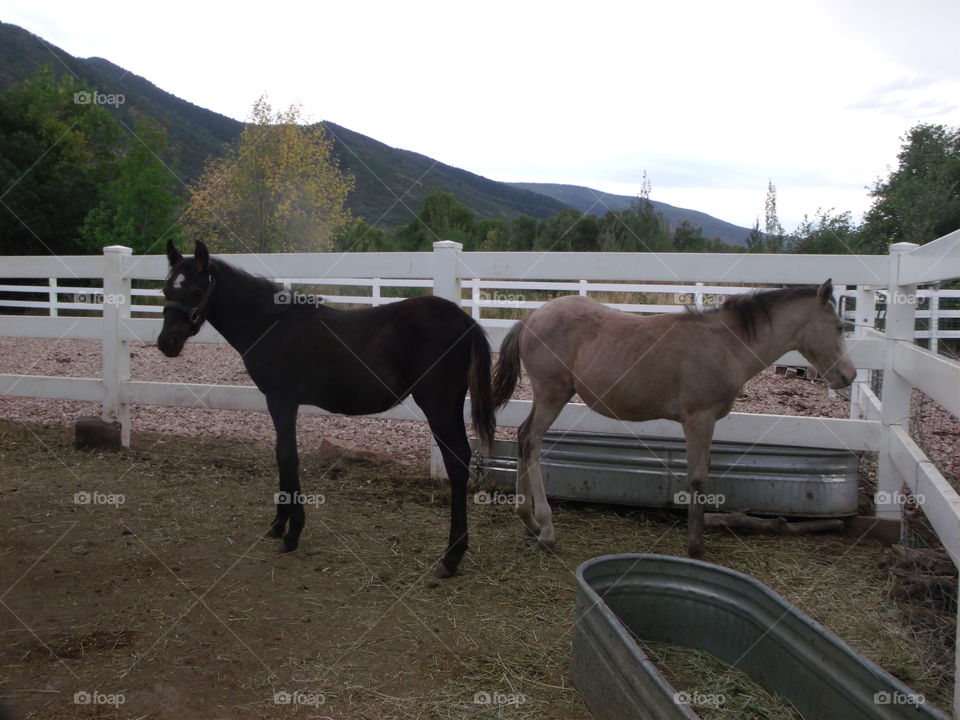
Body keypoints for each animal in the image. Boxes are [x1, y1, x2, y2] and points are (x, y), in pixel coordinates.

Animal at [157, 240, 495, 578]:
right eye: (165, 290)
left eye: (196, 291)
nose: (166, 343)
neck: (270, 323)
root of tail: (465, 320)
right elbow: (281, 454)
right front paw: (278, 525)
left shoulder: (281, 399)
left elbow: (287, 455)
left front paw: (292, 533)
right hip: (451, 406)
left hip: (437, 406)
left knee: (455, 461)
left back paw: (450, 557)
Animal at [491, 280, 856, 557]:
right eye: (840, 326)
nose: (849, 376)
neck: (726, 345)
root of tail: (530, 318)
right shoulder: (699, 419)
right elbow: (698, 479)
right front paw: (696, 546)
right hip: (552, 395)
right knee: (533, 441)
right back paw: (546, 528)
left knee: (523, 436)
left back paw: (528, 520)